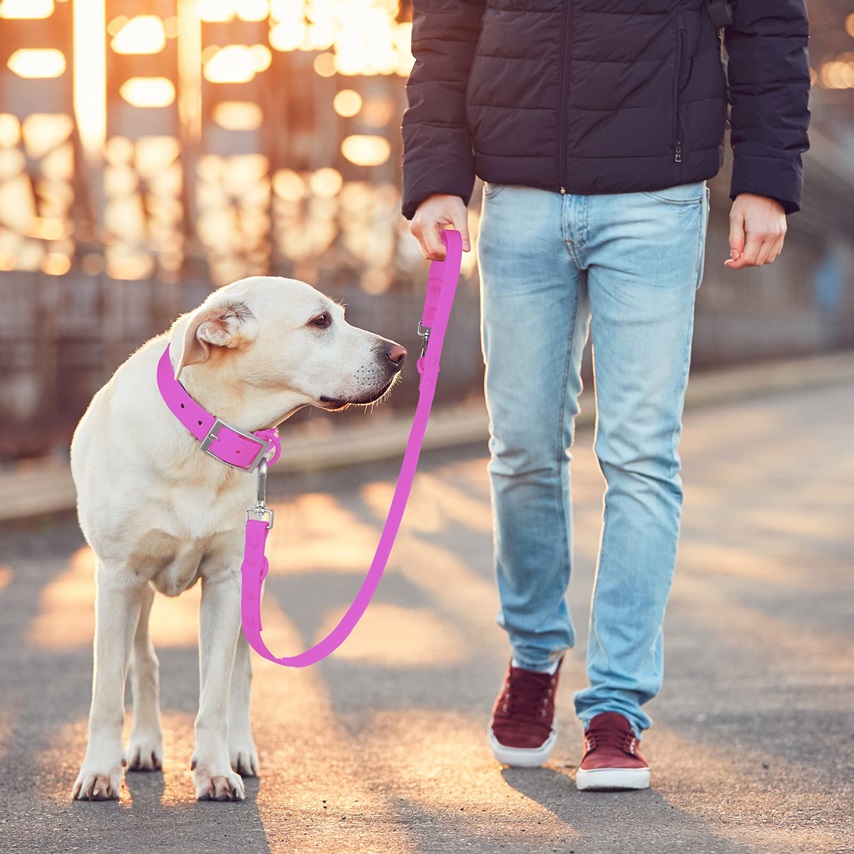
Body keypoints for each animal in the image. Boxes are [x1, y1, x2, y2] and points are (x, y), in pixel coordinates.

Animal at [72, 276, 406, 804]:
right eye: (320, 322)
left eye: (340, 316)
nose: (400, 354)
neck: (204, 434)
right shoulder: (118, 580)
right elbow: (106, 693)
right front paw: (100, 771)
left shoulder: (228, 581)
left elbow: (216, 694)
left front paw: (213, 770)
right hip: (137, 594)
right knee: (143, 661)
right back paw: (145, 743)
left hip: (251, 586)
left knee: (239, 674)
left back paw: (238, 750)